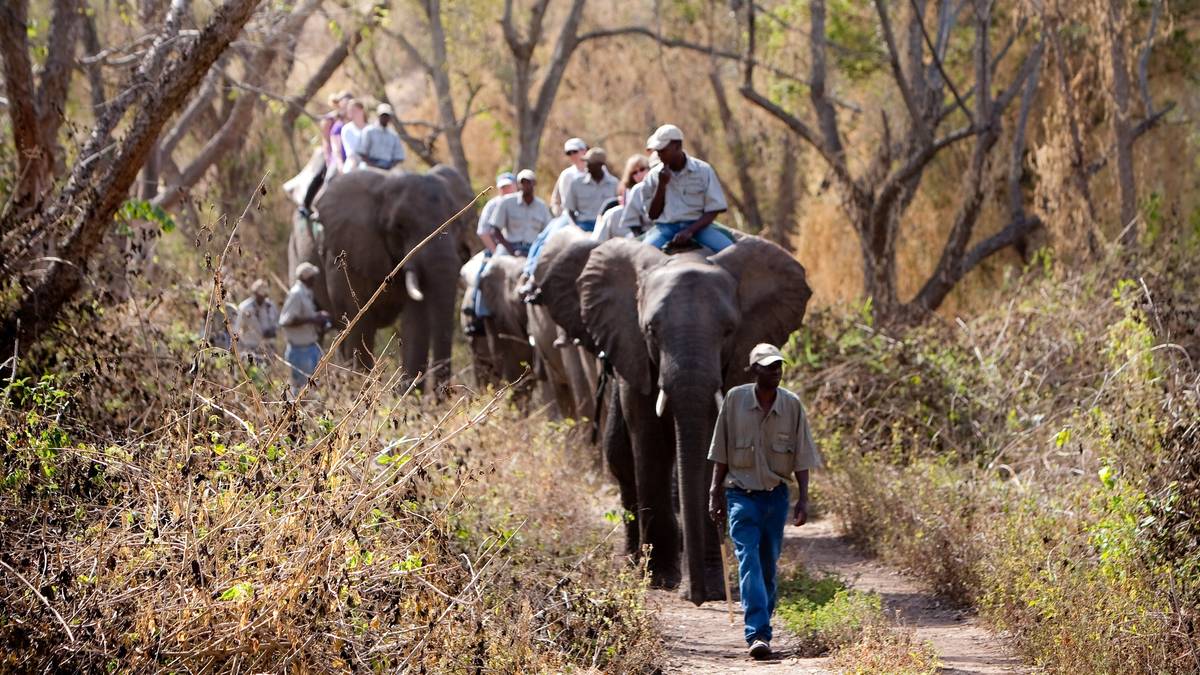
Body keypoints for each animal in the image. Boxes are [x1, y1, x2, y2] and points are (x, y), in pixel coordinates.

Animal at [287, 165, 477, 389]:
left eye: (460, 224)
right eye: (399, 227)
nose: (443, 393)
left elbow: (416, 321)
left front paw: (408, 395)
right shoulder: (346, 250)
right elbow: (358, 320)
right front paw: (360, 389)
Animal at [557, 235, 811, 604]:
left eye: (729, 331)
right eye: (650, 329)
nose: (697, 597)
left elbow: (715, 445)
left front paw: (713, 586)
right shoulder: (633, 349)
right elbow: (648, 438)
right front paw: (661, 578)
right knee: (620, 458)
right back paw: (634, 560)